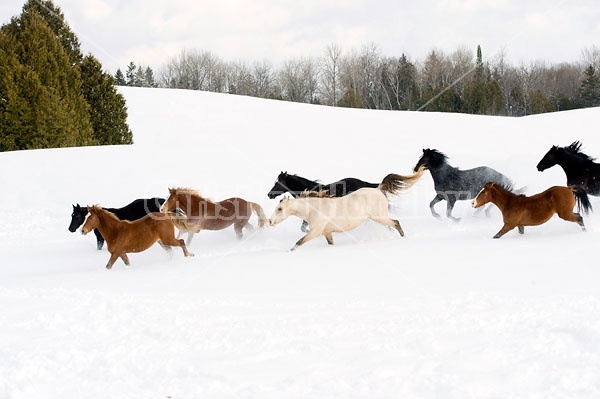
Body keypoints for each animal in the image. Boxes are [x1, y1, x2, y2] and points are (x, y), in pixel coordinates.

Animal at [268, 170, 422, 252]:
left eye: (279, 209)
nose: (270, 221)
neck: (314, 208)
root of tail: (378, 189)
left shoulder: (315, 232)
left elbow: (299, 242)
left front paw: (289, 251)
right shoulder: (327, 232)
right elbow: (329, 243)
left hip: (379, 217)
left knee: (395, 222)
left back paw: (401, 237)